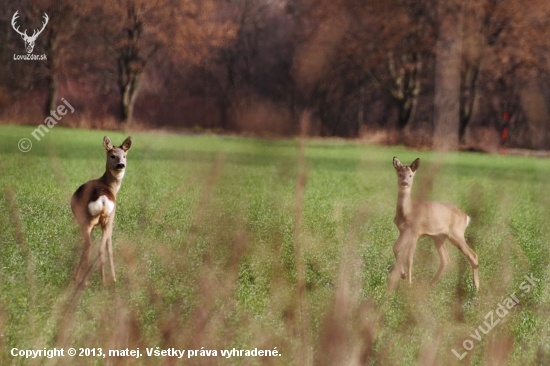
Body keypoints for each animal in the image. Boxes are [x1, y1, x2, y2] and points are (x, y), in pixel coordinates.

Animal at [71, 136, 133, 284]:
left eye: (124, 156)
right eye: (112, 155)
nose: (121, 165)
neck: (110, 187)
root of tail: (103, 199)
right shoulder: (111, 221)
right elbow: (109, 248)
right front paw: (114, 278)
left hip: (89, 220)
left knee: (91, 246)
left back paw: (83, 279)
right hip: (105, 220)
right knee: (98, 248)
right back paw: (98, 280)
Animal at [390, 157, 480, 292]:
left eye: (410, 175)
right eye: (400, 174)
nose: (405, 182)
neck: (408, 211)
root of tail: (466, 217)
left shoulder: (415, 232)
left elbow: (410, 258)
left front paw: (409, 284)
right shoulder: (403, 231)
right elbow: (395, 247)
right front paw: (403, 275)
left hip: (456, 233)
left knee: (473, 255)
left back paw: (476, 288)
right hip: (439, 236)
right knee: (445, 259)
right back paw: (431, 285)